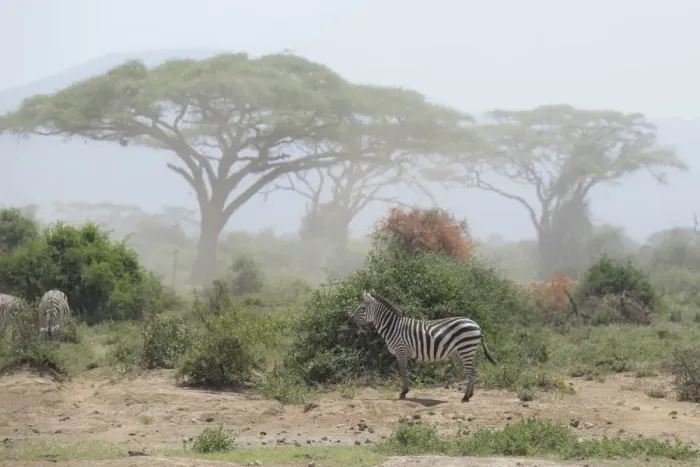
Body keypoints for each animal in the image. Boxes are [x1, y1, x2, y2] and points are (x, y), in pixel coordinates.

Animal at [349, 290, 497, 402]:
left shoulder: (401, 350)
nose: (349, 321)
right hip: (471, 350)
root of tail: (476, 325)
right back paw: (470, 394)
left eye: (362, 308)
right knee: (474, 371)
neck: (394, 327)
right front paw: (405, 391)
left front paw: (404, 392)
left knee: (471, 372)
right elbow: (405, 371)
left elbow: (403, 371)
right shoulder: (403, 352)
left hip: (465, 348)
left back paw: (465, 397)